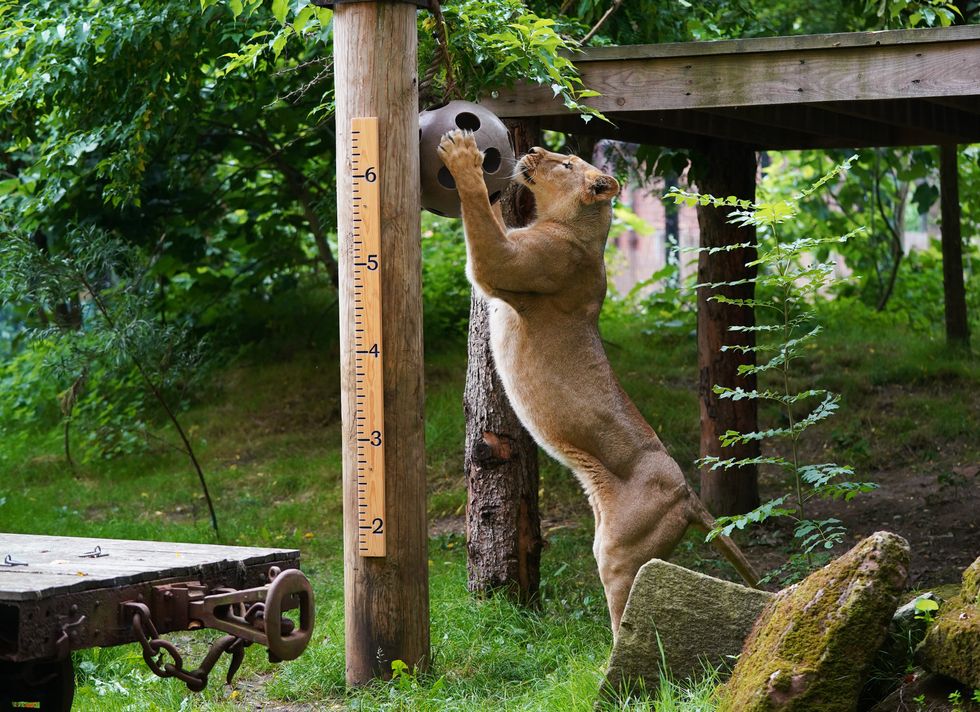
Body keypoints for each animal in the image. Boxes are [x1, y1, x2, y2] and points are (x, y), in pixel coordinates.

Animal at [437, 129, 759, 634]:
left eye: (567, 163)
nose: (531, 150)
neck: (579, 229)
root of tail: (688, 495)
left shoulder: (504, 264)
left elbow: (480, 224)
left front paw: (463, 155)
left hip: (619, 551)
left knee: (628, 609)